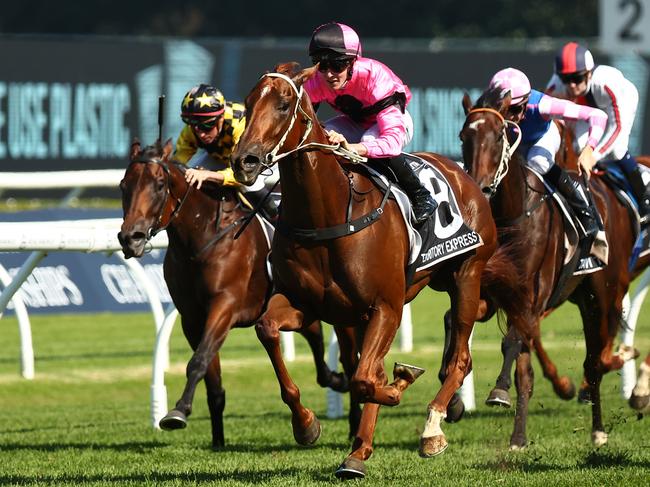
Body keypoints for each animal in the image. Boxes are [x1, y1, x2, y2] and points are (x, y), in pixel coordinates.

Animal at [117, 139, 360, 448]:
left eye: (160, 185)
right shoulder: (192, 319)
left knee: (349, 360)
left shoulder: (225, 306)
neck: (200, 240)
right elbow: (212, 379)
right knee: (316, 337)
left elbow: (198, 361)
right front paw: (217, 440)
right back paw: (334, 381)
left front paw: (178, 411)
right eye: (123, 185)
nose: (130, 238)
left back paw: (353, 421)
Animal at [460, 88, 636, 450]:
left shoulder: (533, 296)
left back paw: (600, 422)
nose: (480, 189)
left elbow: (514, 344)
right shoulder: (493, 294)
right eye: (463, 136)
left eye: (500, 135)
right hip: (582, 299)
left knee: (596, 359)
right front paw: (515, 434)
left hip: (604, 295)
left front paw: (499, 392)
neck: (512, 216)